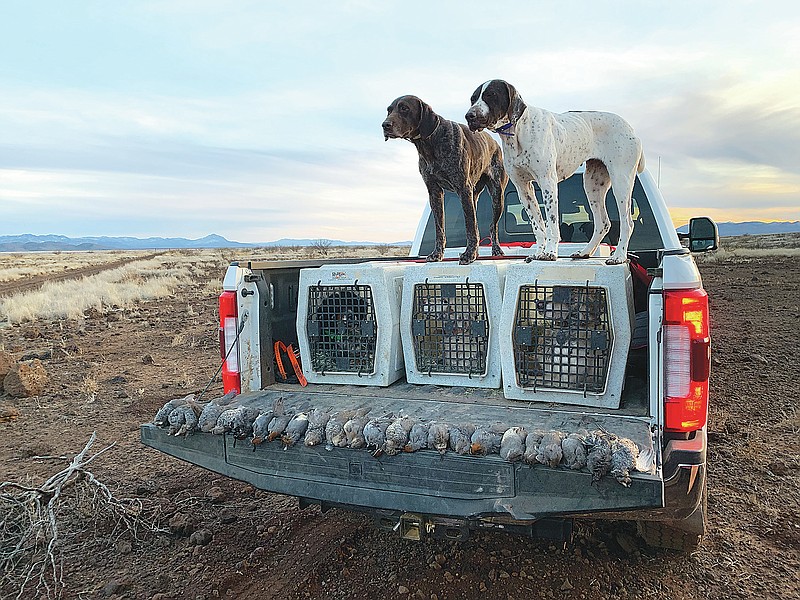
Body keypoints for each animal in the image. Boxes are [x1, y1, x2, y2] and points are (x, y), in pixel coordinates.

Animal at [382, 95, 506, 264]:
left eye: (404, 108)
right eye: (389, 110)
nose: (385, 125)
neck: (431, 142)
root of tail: (495, 144)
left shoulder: (463, 188)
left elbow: (470, 226)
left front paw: (469, 254)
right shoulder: (435, 192)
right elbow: (440, 228)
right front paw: (437, 254)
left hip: (496, 196)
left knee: (492, 226)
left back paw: (496, 250)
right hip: (473, 197)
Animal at [462, 80, 644, 264]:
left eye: (490, 95)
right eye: (472, 99)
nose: (469, 116)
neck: (518, 130)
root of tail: (630, 128)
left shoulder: (547, 182)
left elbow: (551, 223)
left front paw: (550, 252)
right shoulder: (523, 188)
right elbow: (537, 225)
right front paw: (538, 252)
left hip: (621, 182)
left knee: (627, 223)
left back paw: (619, 256)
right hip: (592, 184)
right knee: (603, 223)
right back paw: (585, 252)